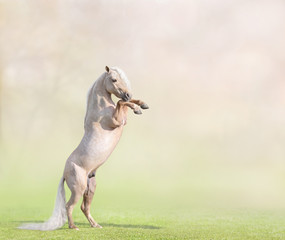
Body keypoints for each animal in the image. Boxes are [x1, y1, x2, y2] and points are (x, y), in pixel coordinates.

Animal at [19, 65, 149, 231]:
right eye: (114, 79)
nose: (128, 94)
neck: (100, 108)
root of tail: (64, 173)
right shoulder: (117, 120)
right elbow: (121, 102)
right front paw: (137, 108)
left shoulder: (122, 120)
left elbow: (124, 102)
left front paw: (142, 105)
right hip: (79, 189)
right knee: (69, 206)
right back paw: (73, 227)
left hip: (90, 187)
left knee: (84, 207)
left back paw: (96, 225)